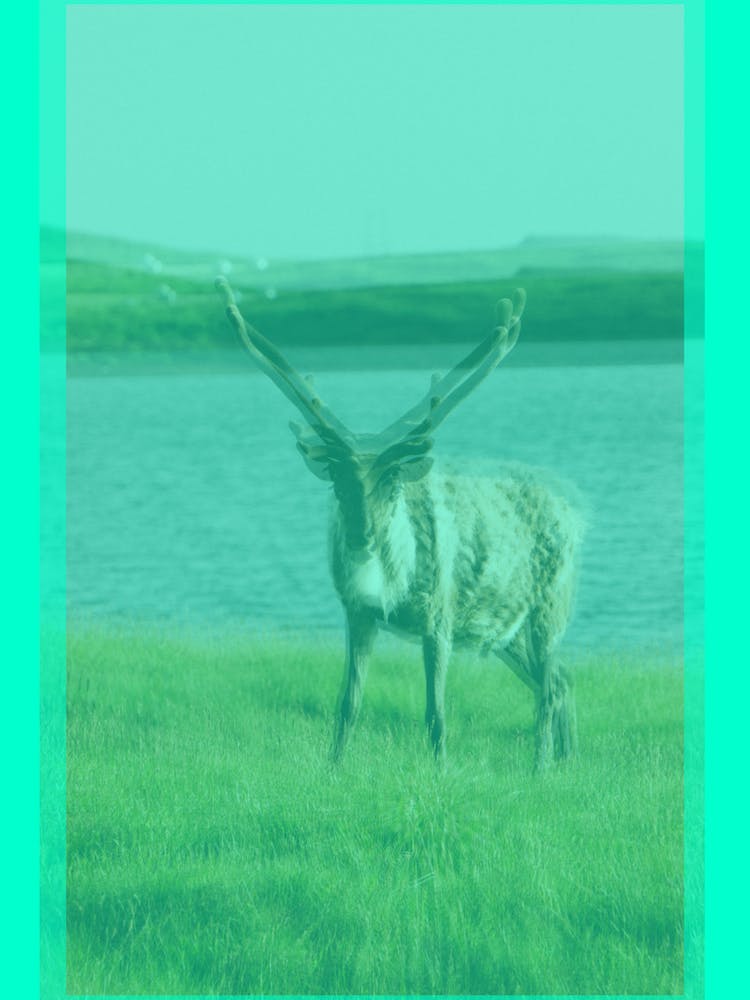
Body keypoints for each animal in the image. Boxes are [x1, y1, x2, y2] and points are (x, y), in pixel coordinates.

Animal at [215, 277, 583, 771]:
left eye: (391, 482)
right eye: (337, 480)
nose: (360, 535)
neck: (392, 581)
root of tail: (574, 511)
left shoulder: (439, 616)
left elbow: (436, 713)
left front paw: (442, 771)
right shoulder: (357, 614)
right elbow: (347, 704)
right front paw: (334, 768)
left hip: (549, 606)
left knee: (548, 687)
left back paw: (541, 767)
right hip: (503, 629)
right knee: (561, 679)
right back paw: (565, 759)